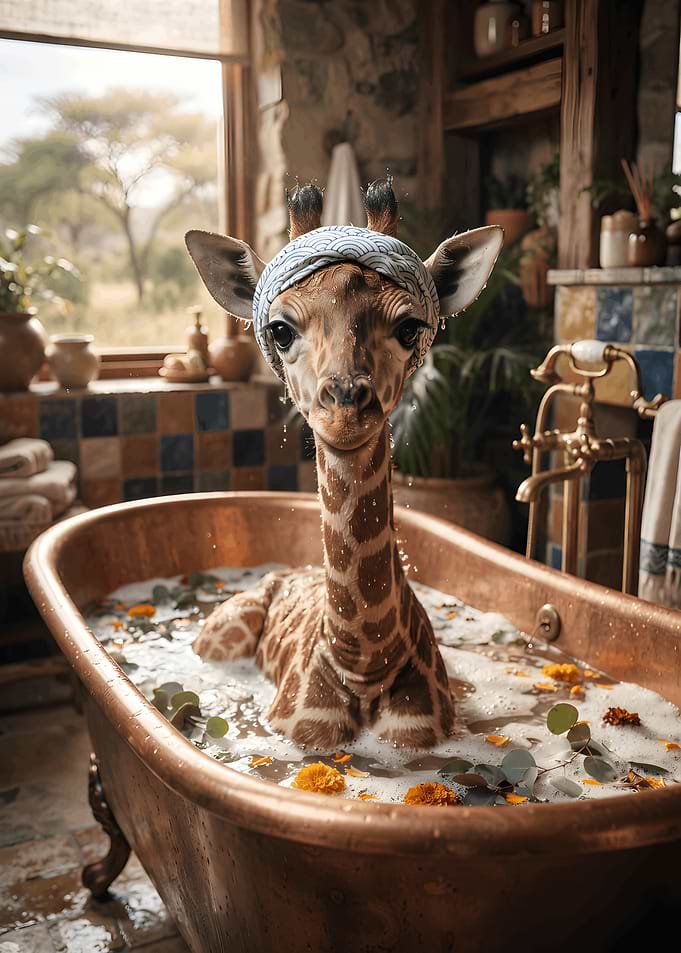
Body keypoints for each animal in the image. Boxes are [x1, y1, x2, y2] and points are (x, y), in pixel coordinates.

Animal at [185, 180, 502, 749]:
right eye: (281, 330)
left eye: (409, 327)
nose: (346, 408)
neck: (365, 661)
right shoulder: (301, 733)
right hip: (218, 636)